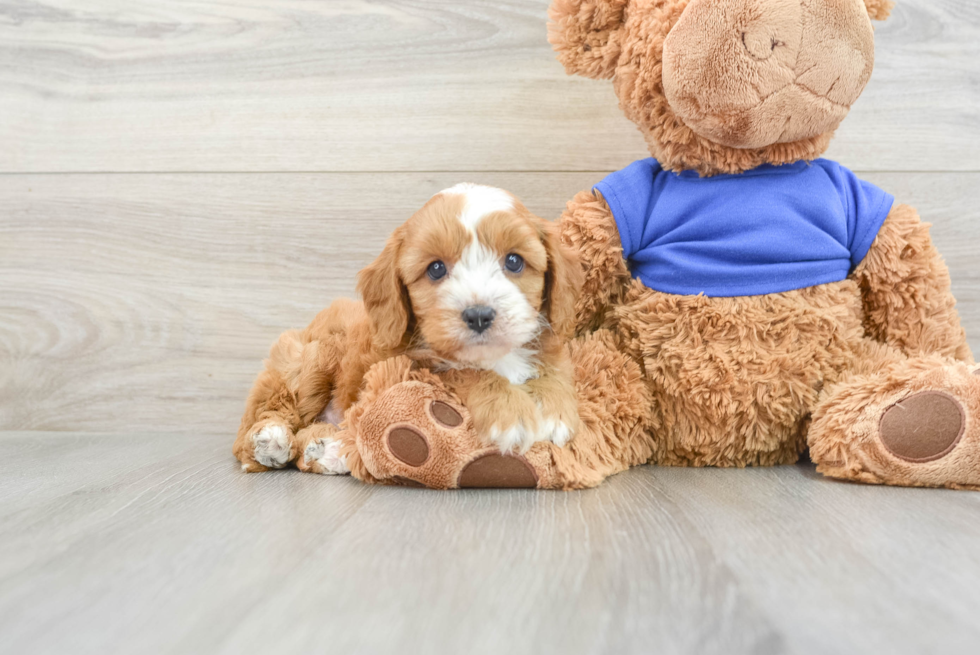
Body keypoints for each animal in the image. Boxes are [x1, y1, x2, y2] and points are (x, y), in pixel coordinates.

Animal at [234, 182, 584, 474]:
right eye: (436, 269)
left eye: (514, 261)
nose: (479, 316)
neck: (495, 357)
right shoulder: (417, 366)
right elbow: (468, 372)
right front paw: (510, 412)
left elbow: (554, 372)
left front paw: (554, 410)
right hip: (311, 358)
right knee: (262, 418)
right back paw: (270, 440)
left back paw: (329, 450)